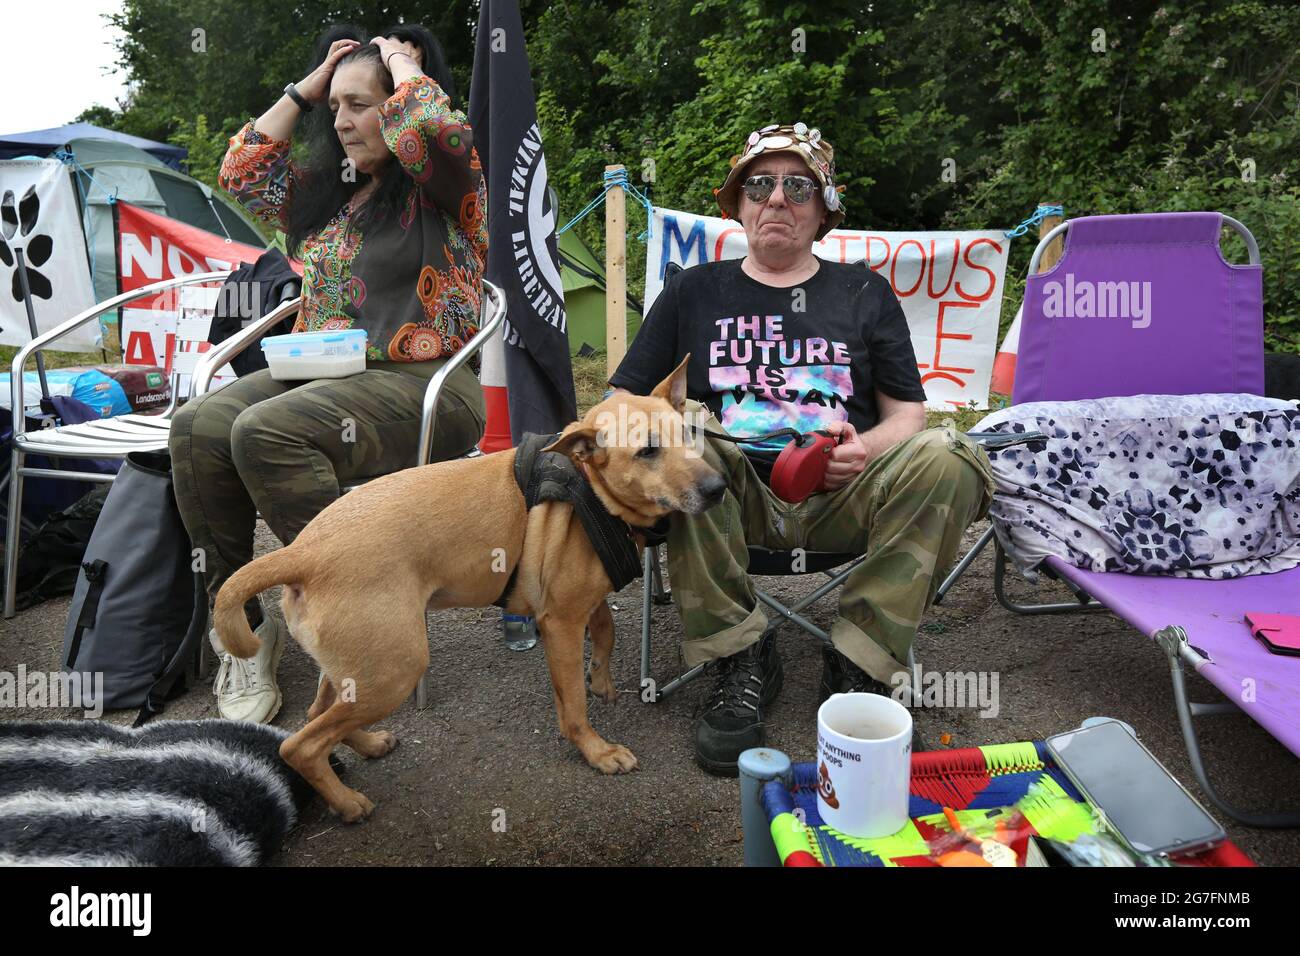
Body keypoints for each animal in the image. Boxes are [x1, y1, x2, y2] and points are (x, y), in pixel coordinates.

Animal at [213, 358, 722, 822]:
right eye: (647, 451)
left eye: (688, 435)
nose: (717, 488)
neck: (590, 489)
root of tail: (303, 551)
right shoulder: (559, 623)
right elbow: (574, 707)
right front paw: (597, 751)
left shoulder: (578, 601)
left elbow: (605, 629)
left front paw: (601, 677)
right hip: (396, 669)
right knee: (301, 744)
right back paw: (346, 802)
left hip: (360, 668)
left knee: (320, 713)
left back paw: (368, 744)